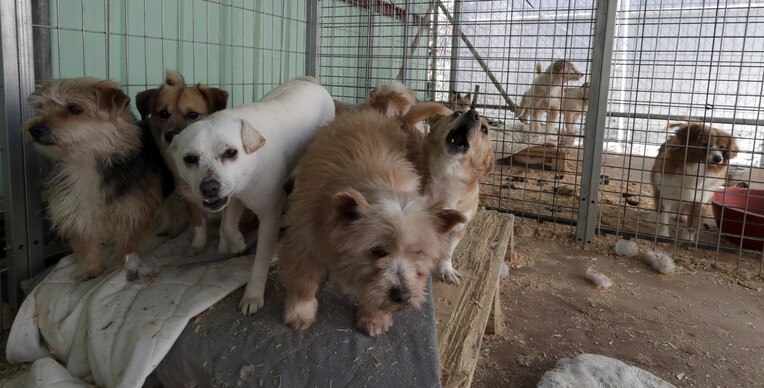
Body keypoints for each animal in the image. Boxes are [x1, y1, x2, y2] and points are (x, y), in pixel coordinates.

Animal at [23, 77, 172, 280]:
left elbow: (127, 246)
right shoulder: (74, 209)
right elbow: (86, 243)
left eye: (75, 108)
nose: (34, 129)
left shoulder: (133, 213)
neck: (84, 162)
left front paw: (117, 269)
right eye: (41, 107)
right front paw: (91, 270)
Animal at [136, 69, 228, 252]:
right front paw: (197, 247)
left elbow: (226, 229)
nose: (170, 135)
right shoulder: (190, 200)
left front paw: (223, 249)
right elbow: (199, 226)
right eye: (163, 113)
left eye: (193, 114)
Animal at [172, 76, 336, 316]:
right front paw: (238, 243)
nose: (209, 188)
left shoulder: (268, 216)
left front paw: (253, 295)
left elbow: (260, 262)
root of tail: (310, 80)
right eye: (190, 159)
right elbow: (228, 226)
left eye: (231, 152)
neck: (251, 165)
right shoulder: (234, 198)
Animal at [278, 108, 462, 336]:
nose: (402, 296)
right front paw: (300, 313)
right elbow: (303, 279)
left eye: (418, 252)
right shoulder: (304, 238)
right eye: (377, 250)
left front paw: (374, 317)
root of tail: (369, 111)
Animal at [402, 104, 498, 284]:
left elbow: (447, 252)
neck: (448, 175)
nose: (473, 113)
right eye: (457, 113)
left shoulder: (458, 229)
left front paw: (446, 269)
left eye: (485, 129)